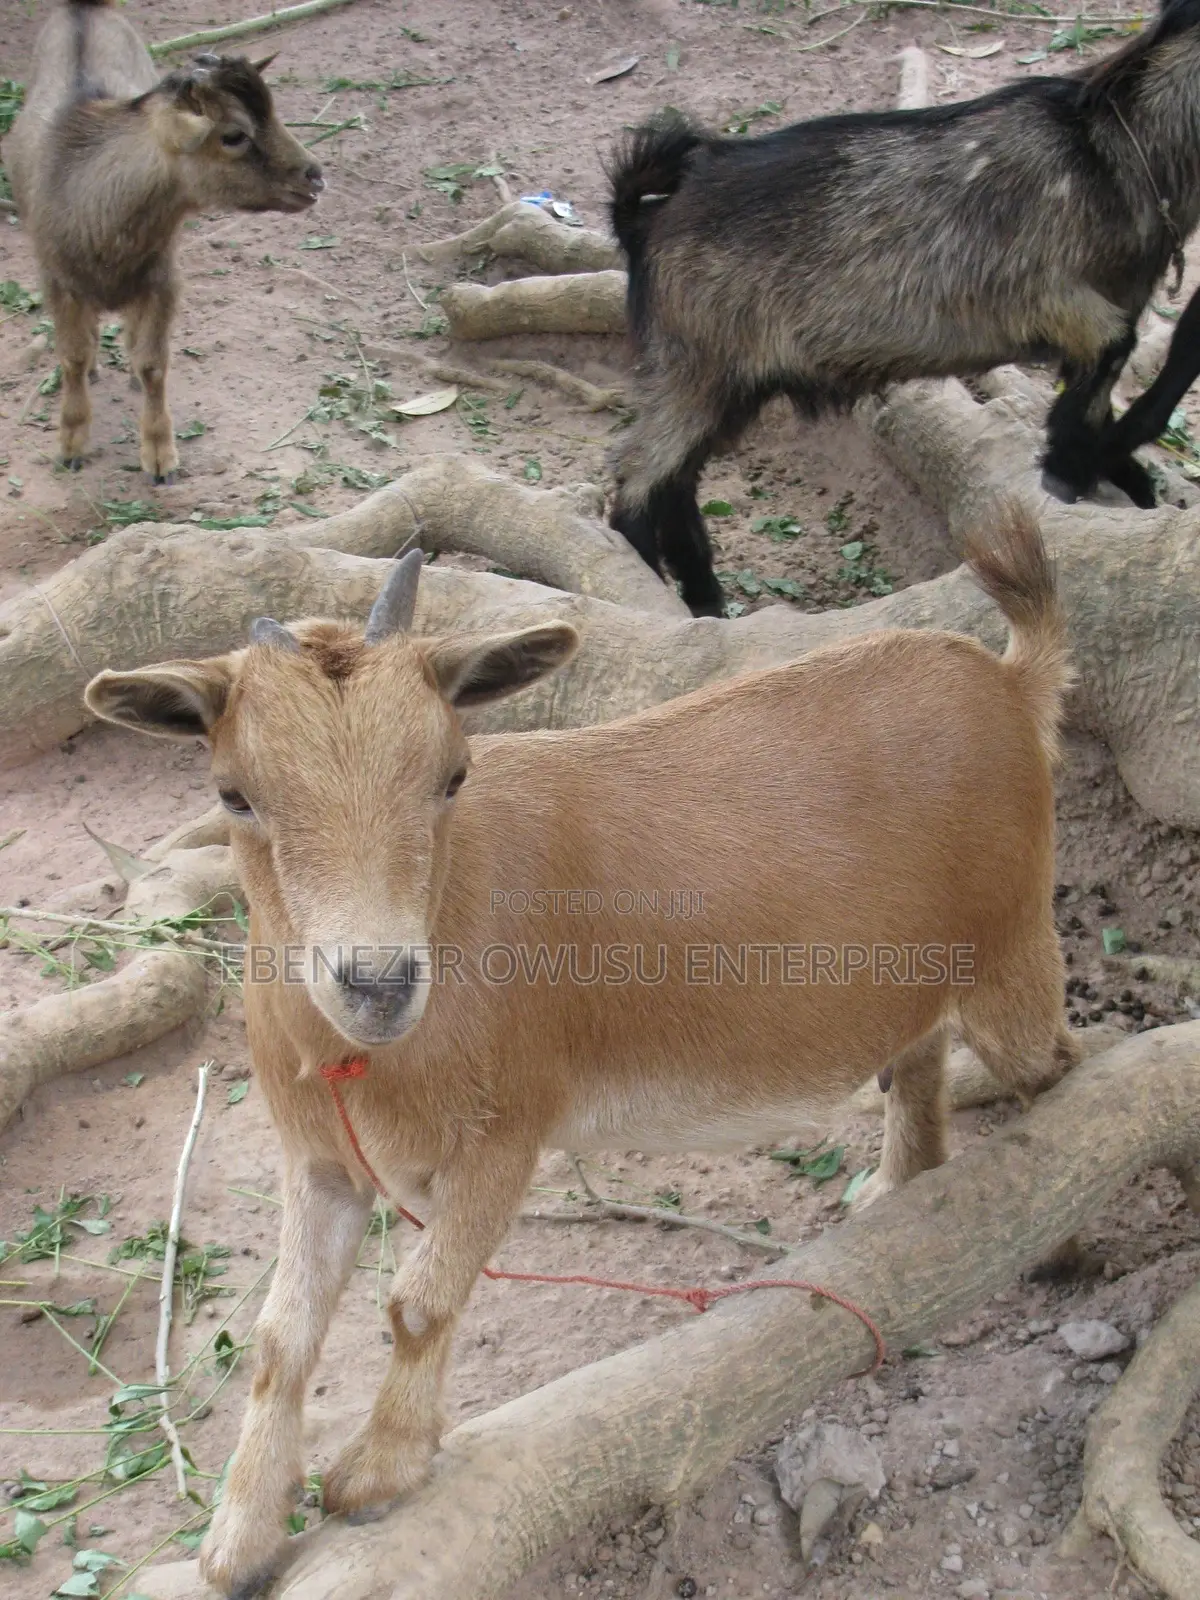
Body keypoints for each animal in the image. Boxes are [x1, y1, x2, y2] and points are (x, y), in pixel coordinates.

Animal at [4, 0, 323, 482]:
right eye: (234, 134)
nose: (314, 177)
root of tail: (86, 7)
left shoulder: (162, 279)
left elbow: (154, 364)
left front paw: (160, 458)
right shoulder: (57, 280)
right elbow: (72, 356)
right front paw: (71, 445)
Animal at [85, 503, 1078, 1596]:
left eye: (453, 774)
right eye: (234, 794)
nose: (378, 982)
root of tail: (1008, 682)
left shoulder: (506, 1129)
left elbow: (417, 1302)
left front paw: (376, 1475)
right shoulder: (324, 1161)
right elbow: (279, 1337)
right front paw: (239, 1535)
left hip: (1013, 946)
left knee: (1055, 1067)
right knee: (918, 1048)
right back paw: (903, 1185)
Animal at [606, 0, 1200, 615]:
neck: (1111, 150)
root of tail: (644, 219)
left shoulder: (1110, 307)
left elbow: (1101, 391)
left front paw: (1118, 477)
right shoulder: (1038, 293)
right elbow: (1113, 351)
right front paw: (1067, 470)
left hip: (729, 385)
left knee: (675, 482)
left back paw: (704, 602)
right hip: (696, 368)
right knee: (639, 483)